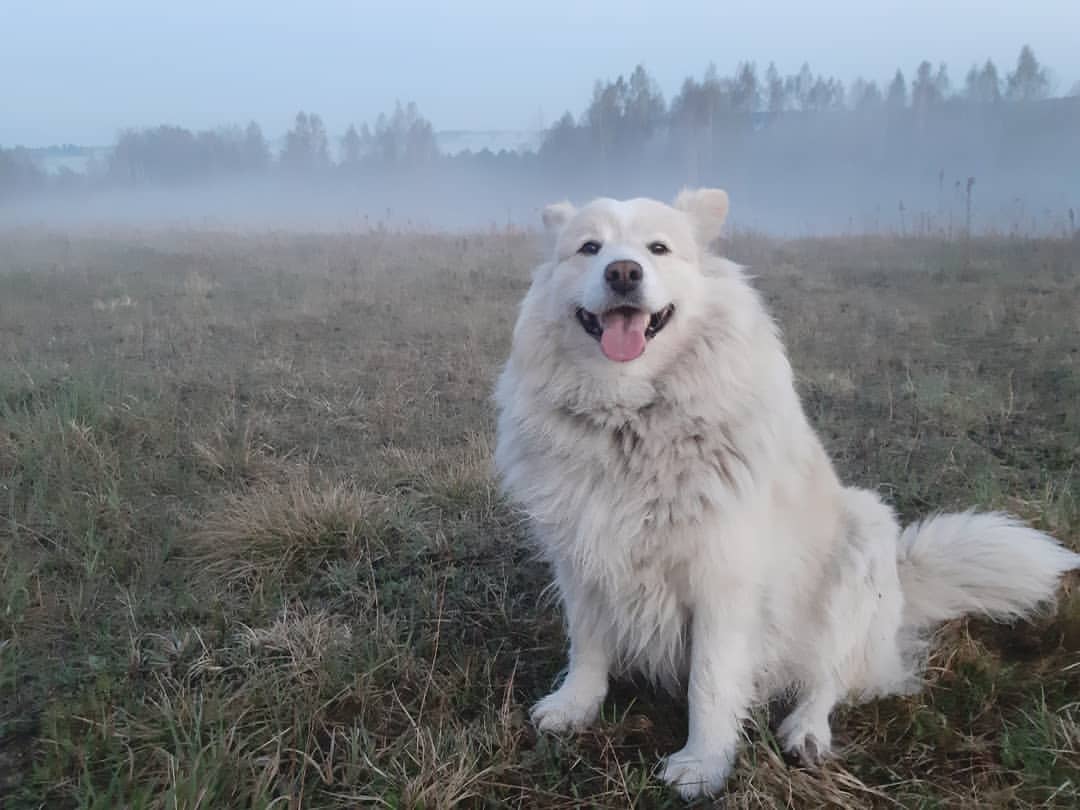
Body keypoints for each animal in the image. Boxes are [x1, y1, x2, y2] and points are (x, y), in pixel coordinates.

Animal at [494, 189, 1080, 799]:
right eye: (590, 248)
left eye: (658, 248)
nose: (623, 272)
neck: (631, 418)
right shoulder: (583, 557)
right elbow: (586, 645)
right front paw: (574, 707)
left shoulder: (723, 582)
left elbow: (710, 682)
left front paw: (703, 764)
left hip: (860, 543)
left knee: (829, 679)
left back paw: (805, 733)